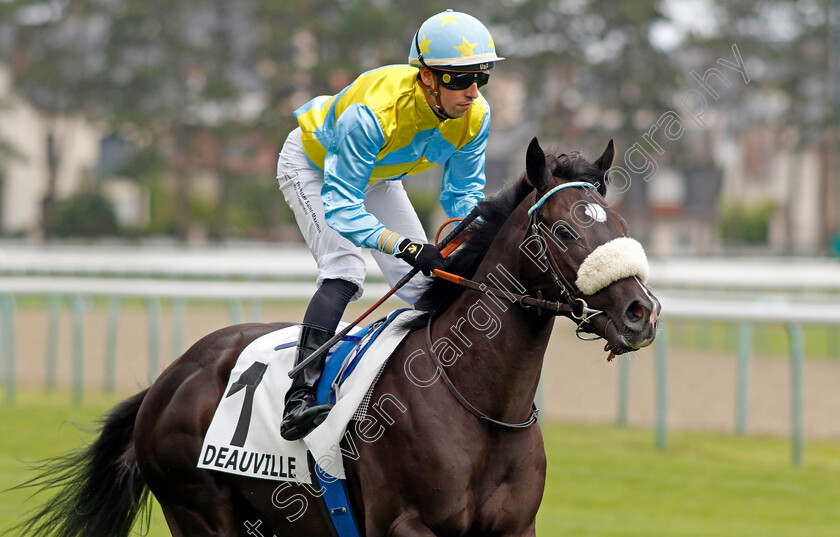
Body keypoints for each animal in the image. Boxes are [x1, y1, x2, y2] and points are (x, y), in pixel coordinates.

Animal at [9, 138, 660, 536]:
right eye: (562, 230)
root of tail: (168, 379)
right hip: (200, 512)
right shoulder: (405, 524)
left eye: (621, 224)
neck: (479, 405)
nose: (640, 313)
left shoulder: (515, 527)